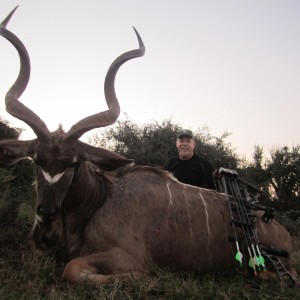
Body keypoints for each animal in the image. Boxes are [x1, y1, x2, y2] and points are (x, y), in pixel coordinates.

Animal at [0, 6, 298, 284]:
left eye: (74, 163)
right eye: (37, 160)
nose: (46, 212)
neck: (100, 200)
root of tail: (285, 236)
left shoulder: (125, 255)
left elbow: (72, 269)